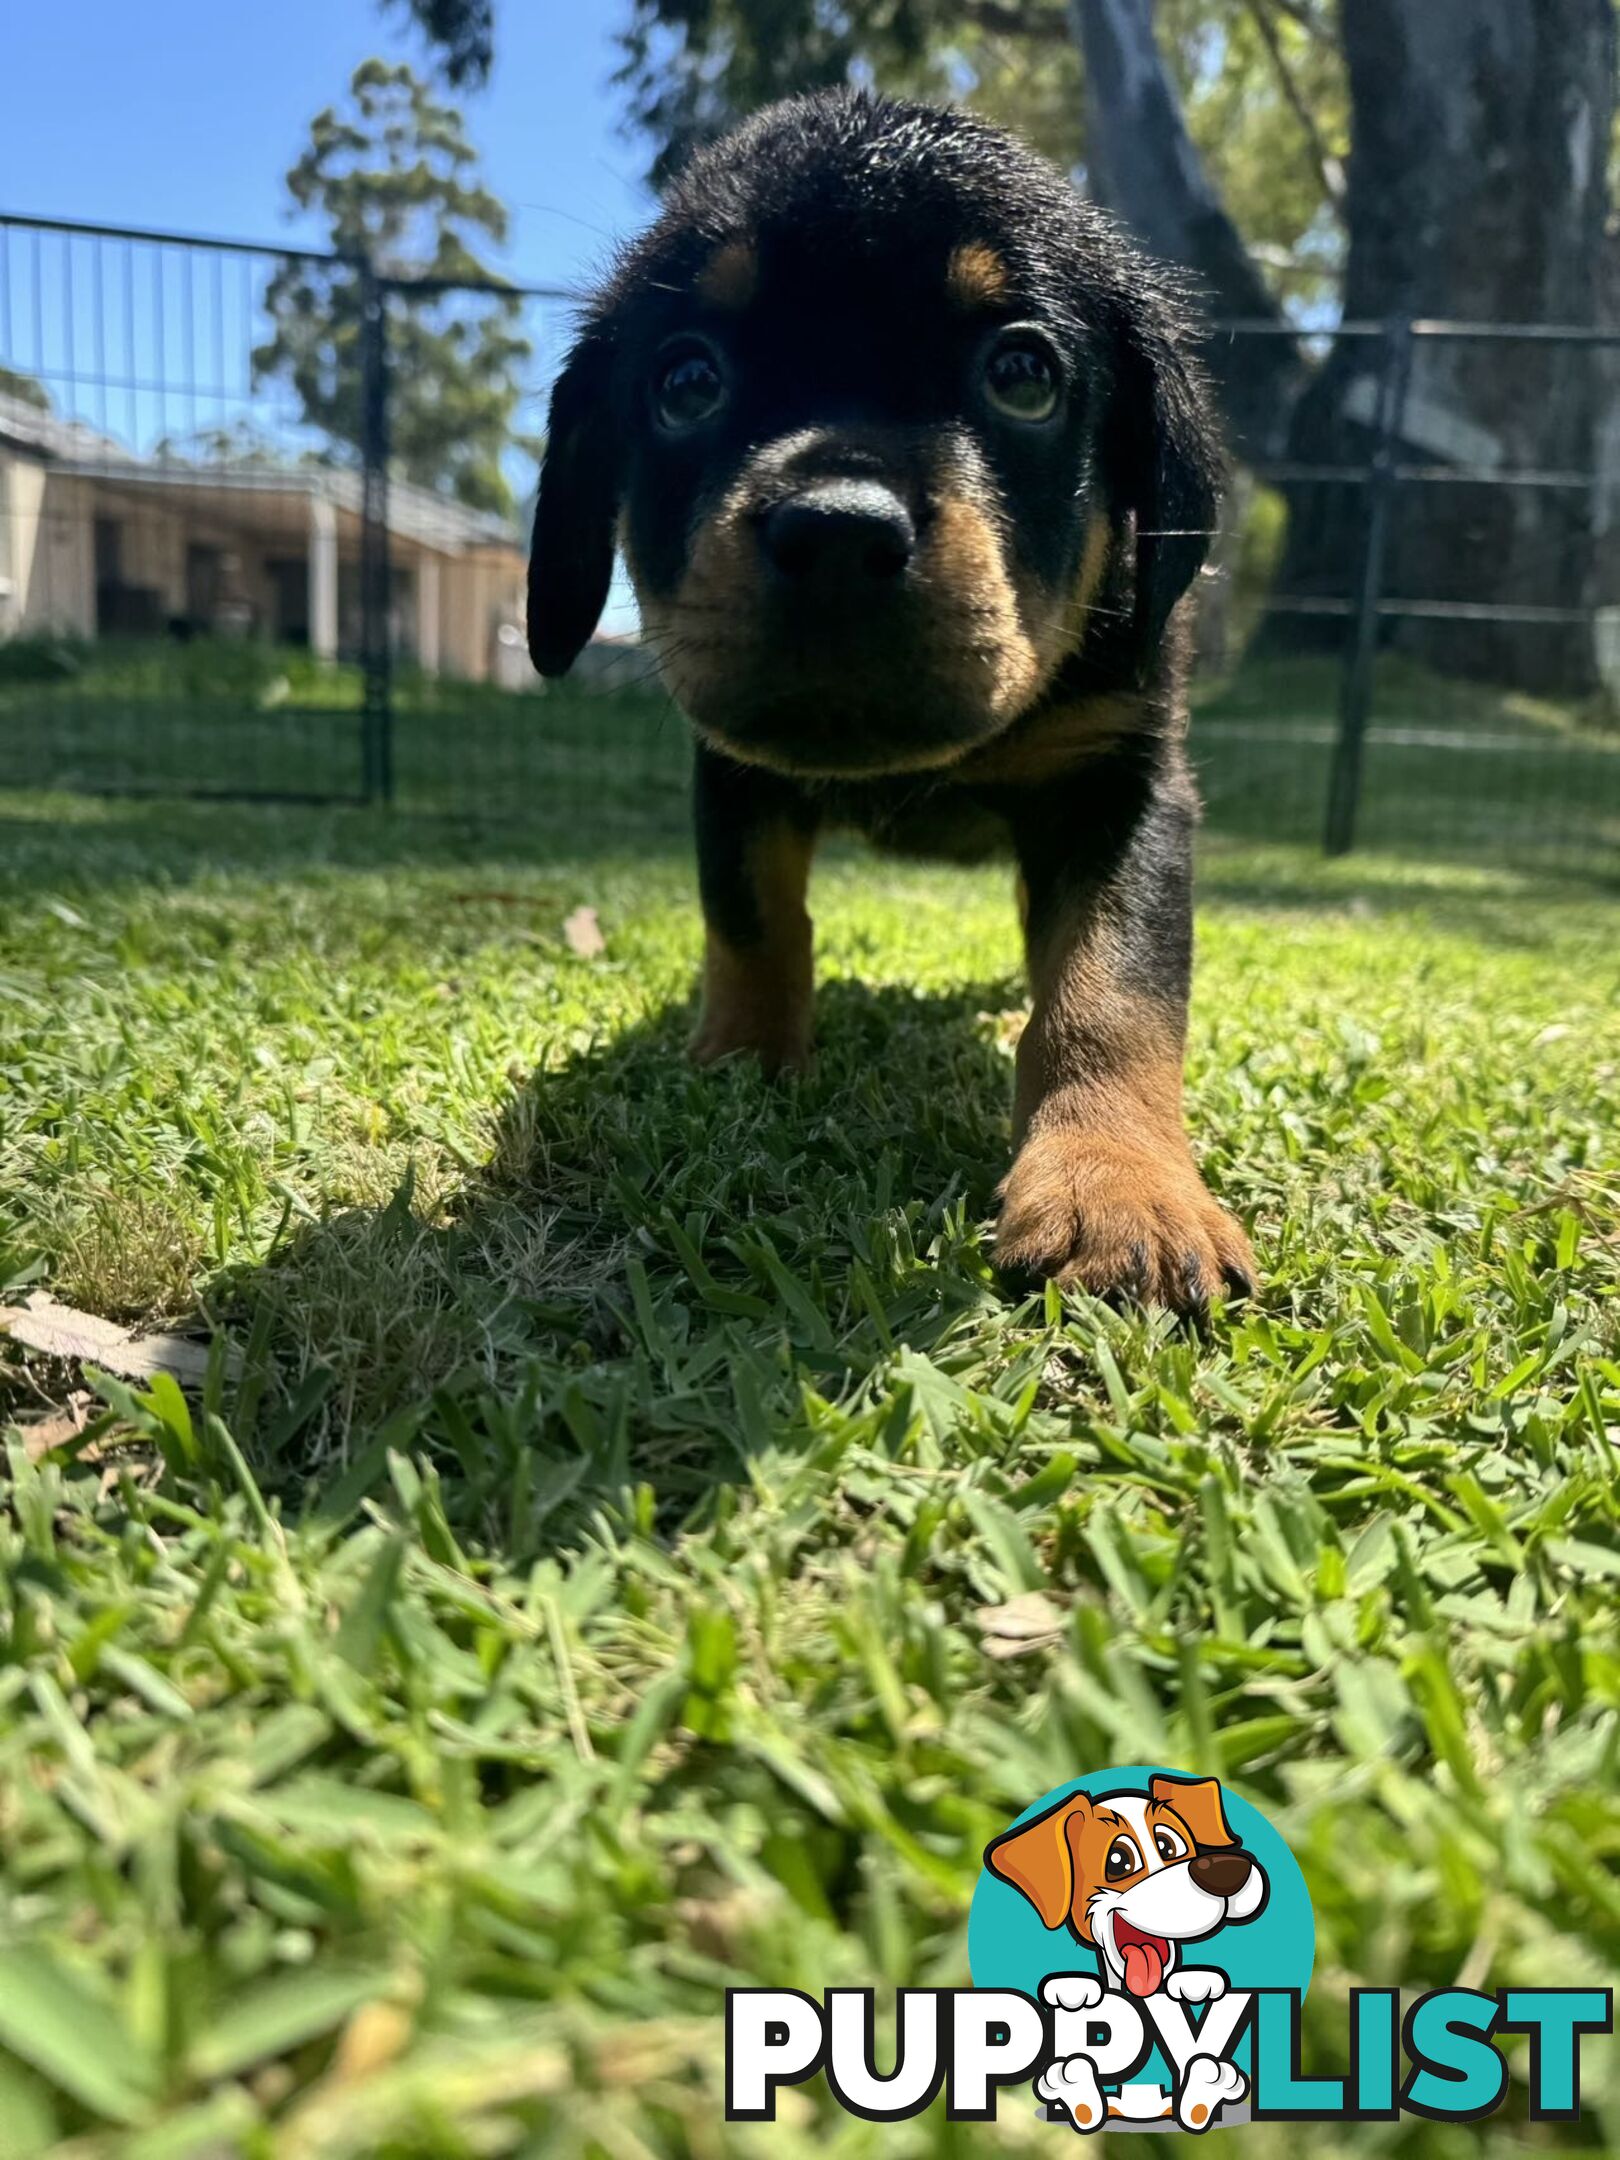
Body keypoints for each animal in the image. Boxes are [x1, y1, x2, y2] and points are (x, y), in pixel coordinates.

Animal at [527, 88, 1261, 1313]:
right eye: (687, 383)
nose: (836, 534)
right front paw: (741, 1067)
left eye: (1023, 374)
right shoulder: (734, 774)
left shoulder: (1128, 784)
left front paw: (1118, 1183)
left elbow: (1113, 985)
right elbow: (754, 923)